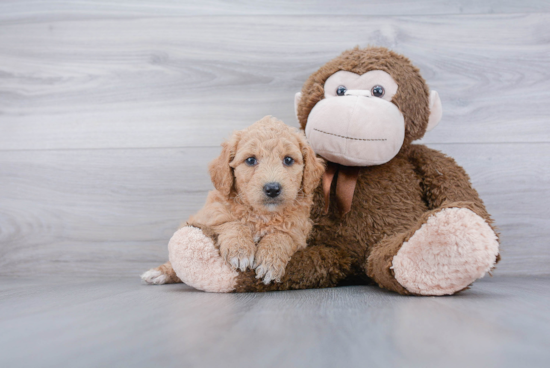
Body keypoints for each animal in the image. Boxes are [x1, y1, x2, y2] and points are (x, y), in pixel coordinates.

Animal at [140, 115, 328, 284]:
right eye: (250, 160)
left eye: (288, 160)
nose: (273, 188)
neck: (262, 215)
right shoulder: (211, 215)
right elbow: (232, 223)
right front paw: (240, 250)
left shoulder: (298, 231)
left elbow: (281, 236)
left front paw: (270, 261)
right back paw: (160, 272)